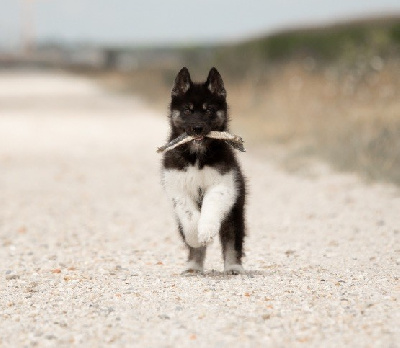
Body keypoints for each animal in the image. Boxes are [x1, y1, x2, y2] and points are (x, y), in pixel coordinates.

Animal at [161, 67, 245, 274]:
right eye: (187, 110)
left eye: (208, 110)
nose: (197, 128)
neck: (197, 157)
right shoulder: (178, 188)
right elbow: (190, 217)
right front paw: (195, 237)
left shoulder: (223, 184)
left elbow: (211, 206)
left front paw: (206, 231)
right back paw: (193, 266)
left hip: (235, 212)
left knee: (232, 240)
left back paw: (234, 266)